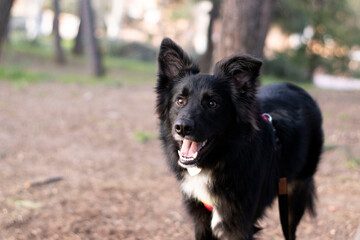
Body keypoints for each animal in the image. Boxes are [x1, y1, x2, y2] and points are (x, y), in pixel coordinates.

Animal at [155, 38, 324, 240]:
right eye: (180, 100)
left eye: (212, 103)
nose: (182, 128)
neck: (220, 161)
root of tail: (298, 88)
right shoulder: (201, 218)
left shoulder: (238, 225)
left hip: (295, 192)